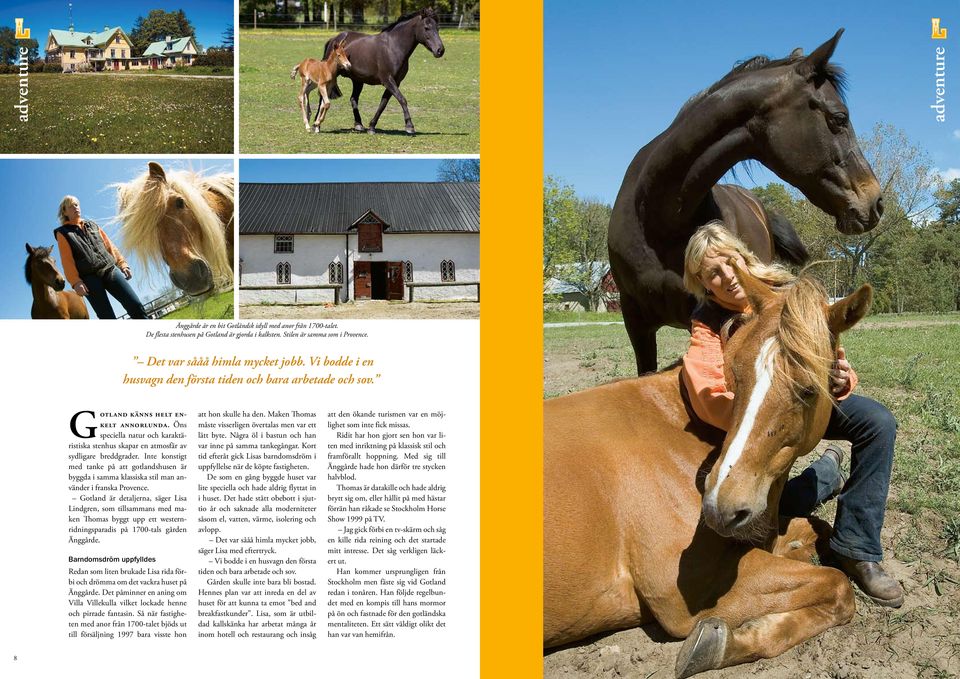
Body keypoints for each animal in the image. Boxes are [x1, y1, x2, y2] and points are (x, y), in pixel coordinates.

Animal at [320, 6, 444, 134]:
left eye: (437, 28)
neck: (393, 47)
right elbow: (402, 99)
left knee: (353, 99)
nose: (440, 50)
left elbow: (383, 104)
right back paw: (317, 125)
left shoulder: (395, 82)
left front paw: (372, 127)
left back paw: (358, 124)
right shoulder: (388, 80)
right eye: (426, 28)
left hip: (358, 80)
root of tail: (334, 39)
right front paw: (409, 126)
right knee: (322, 97)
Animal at [544, 264, 872, 679]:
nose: (720, 505)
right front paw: (726, 643)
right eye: (733, 373)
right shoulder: (689, 591)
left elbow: (817, 529)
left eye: (810, 389)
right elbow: (839, 587)